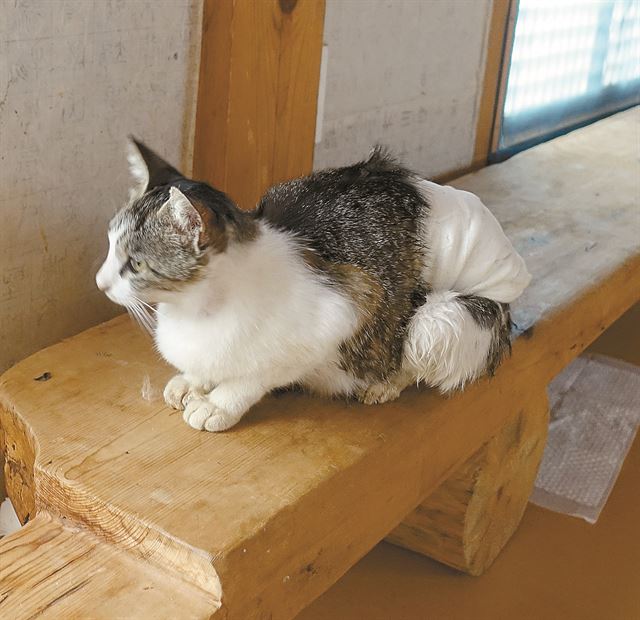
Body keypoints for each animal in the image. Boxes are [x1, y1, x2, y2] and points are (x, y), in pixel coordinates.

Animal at [96, 139, 528, 432]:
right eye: (110, 245)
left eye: (135, 263)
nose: (100, 282)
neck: (193, 310)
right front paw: (193, 380)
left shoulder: (347, 306)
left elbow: (257, 375)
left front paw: (218, 403)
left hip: (445, 317)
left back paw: (385, 383)